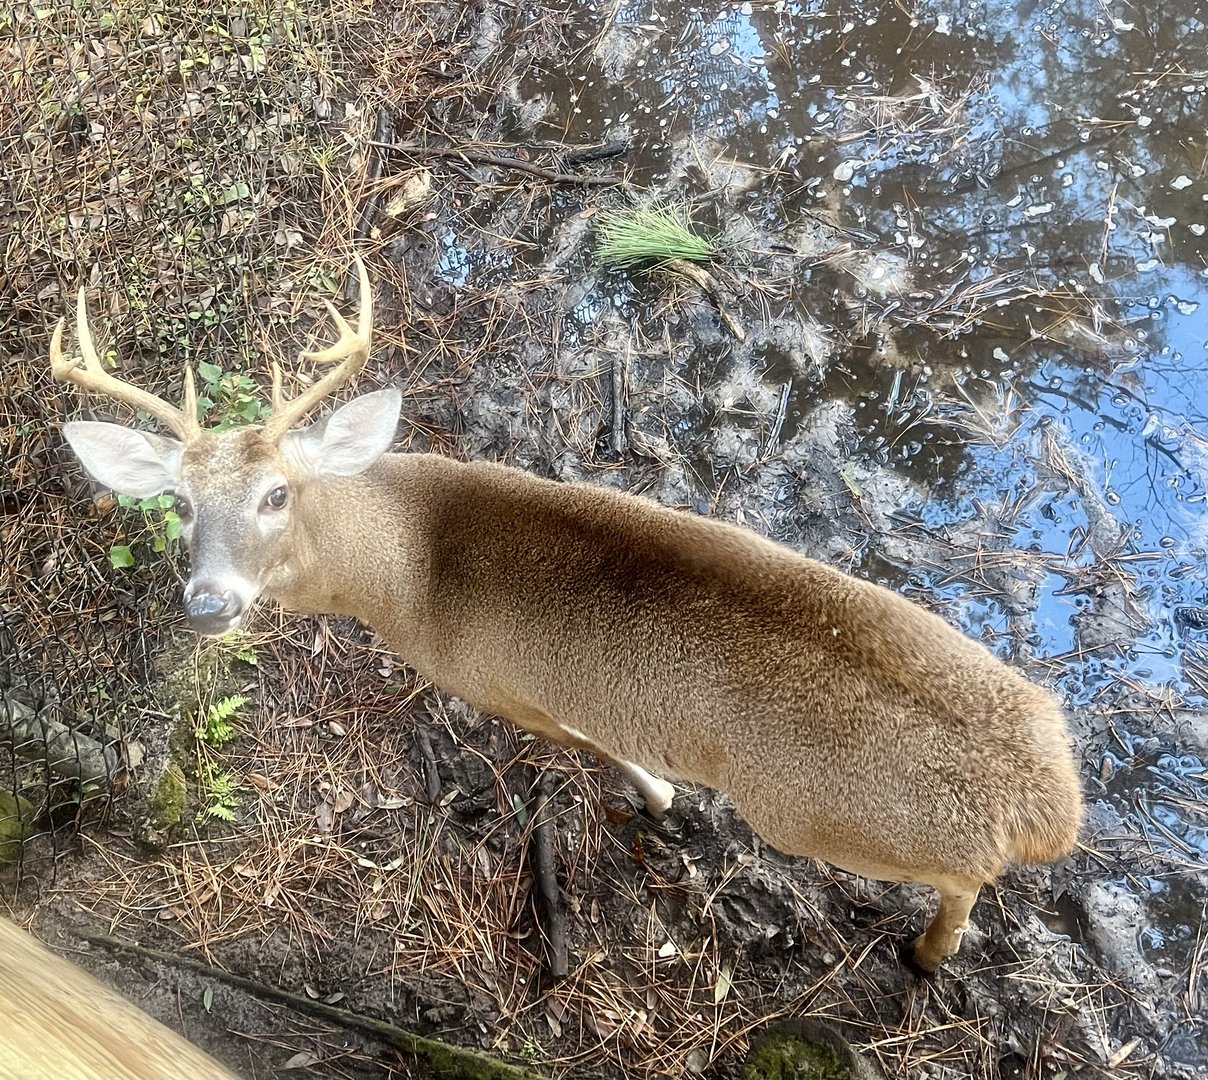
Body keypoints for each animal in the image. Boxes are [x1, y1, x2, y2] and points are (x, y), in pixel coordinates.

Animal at [48, 257, 1084, 973]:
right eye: (180, 503)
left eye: (275, 494)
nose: (208, 603)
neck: (411, 566)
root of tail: (1048, 798)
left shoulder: (502, 688)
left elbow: (596, 745)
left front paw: (661, 798)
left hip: (827, 819)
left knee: (963, 881)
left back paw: (926, 955)